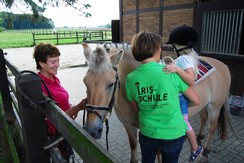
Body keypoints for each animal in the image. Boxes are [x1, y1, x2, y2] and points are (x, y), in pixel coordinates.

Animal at [81, 42, 231, 162]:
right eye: (85, 82)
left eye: (111, 83)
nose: (91, 130)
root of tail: (223, 65)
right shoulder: (128, 126)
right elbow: (133, 147)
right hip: (203, 105)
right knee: (203, 118)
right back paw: (199, 137)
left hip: (214, 107)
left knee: (212, 127)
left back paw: (204, 151)